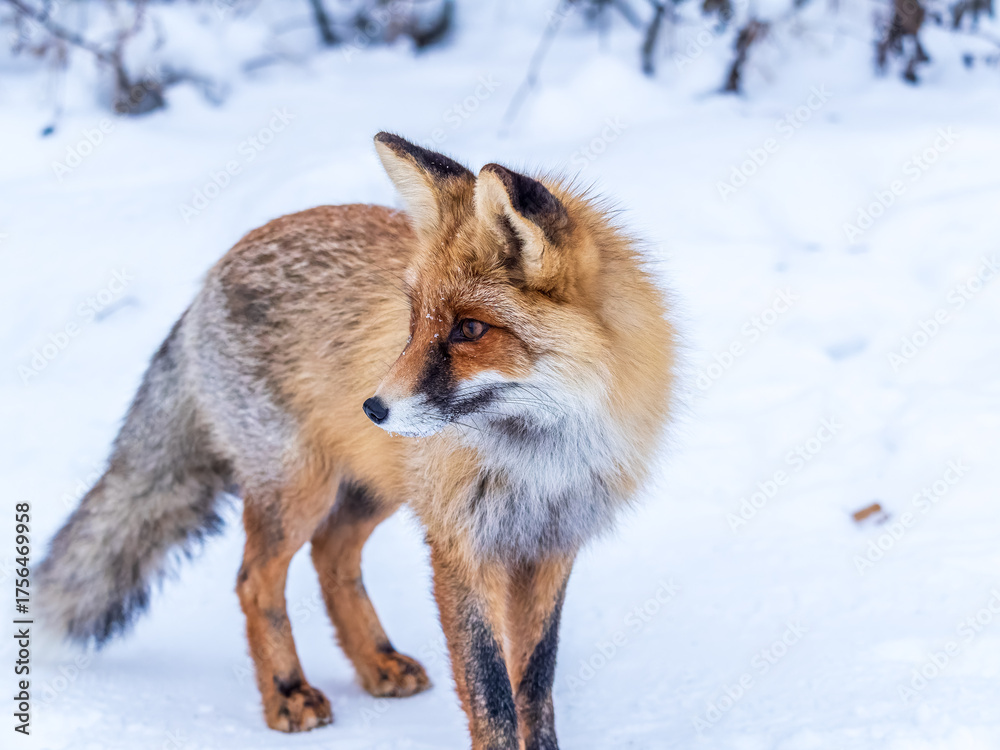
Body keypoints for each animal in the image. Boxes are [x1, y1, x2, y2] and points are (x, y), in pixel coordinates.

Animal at [37, 133, 676, 749]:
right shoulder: (461, 546)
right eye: (414, 322)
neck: (540, 462)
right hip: (300, 491)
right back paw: (287, 693)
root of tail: (211, 275)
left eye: (470, 329)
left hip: (375, 487)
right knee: (254, 580)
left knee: (330, 556)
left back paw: (375, 662)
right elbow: (490, 690)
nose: (372, 408)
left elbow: (534, 687)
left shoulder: (552, 547)